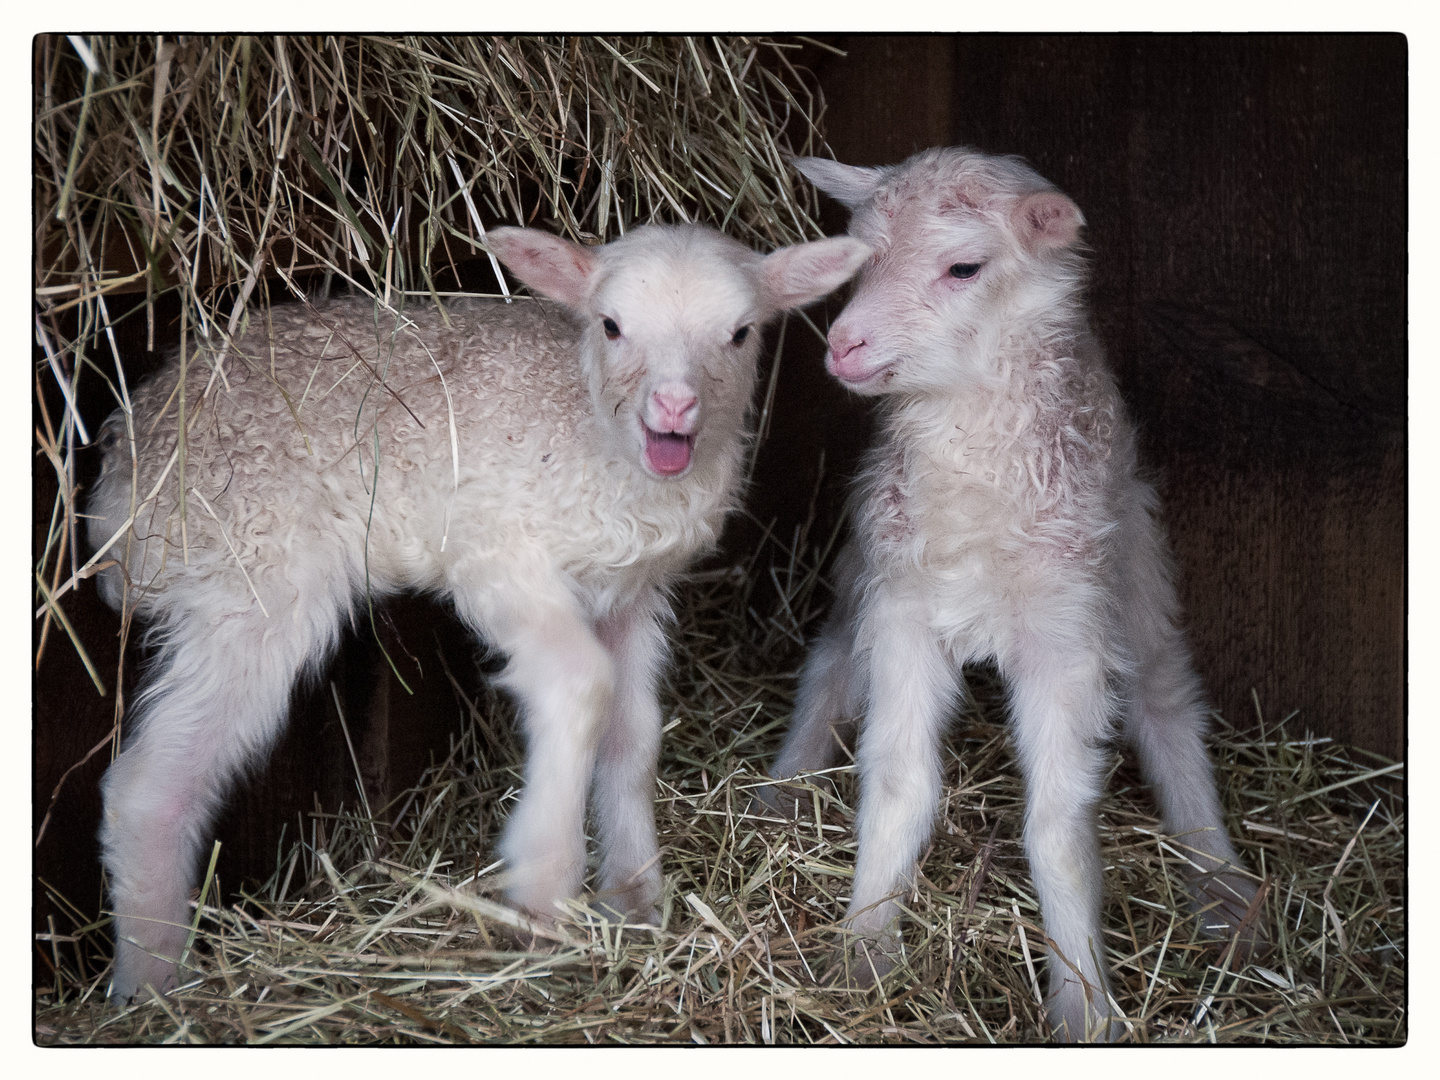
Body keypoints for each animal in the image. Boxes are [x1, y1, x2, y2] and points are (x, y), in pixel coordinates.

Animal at [95, 221, 869, 1008]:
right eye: (611, 325)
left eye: (740, 333)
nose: (676, 406)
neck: (593, 432)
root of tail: (122, 466)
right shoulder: (497, 555)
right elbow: (580, 683)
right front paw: (544, 882)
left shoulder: (630, 595)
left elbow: (633, 733)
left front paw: (635, 898)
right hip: (249, 576)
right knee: (151, 784)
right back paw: (155, 984)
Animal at [766, 148, 1261, 1042]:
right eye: (858, 256)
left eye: (964, 267)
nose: (846, 346)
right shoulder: (903, 613)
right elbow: (898, 782)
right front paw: (864, 953)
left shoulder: (1065, 640)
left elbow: (1058, 825)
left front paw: (1085, 1006)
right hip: (863, 566)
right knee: (827, 670)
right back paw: (778, 801)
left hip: (1135, 569)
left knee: (1167, 702)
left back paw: (1220, 881)